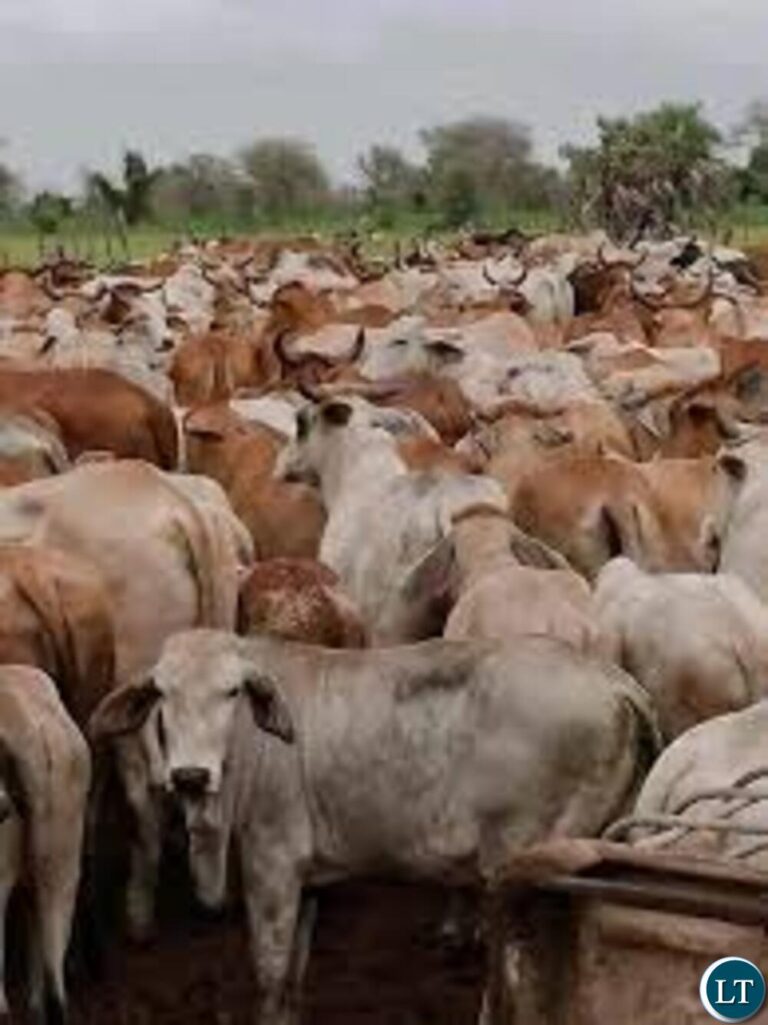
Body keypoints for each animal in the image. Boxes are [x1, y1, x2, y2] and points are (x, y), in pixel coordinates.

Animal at [90, 628, 659, 1025]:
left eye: (231, 692)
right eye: (162, 693)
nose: (189, 775)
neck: (251, 746)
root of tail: (615, 683)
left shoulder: (271, 861)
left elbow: (269, 974)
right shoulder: (307, 880)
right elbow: (292, 977)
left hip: (518, 864)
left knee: (517, 973)